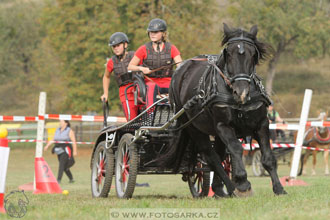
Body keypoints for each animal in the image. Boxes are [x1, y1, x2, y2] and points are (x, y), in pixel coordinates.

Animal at [168, 23, 286, 196]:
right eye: (228, 54)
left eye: (253, 54)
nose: (241, 92)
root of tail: (181, 70)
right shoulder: (223, 126)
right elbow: (236, 149)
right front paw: (243, 183)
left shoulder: (262, 124)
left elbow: (268, 157)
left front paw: (279, 188)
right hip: (193, 127)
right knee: (212, 156)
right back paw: (230, 187)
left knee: (220, 154)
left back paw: (219, 189)